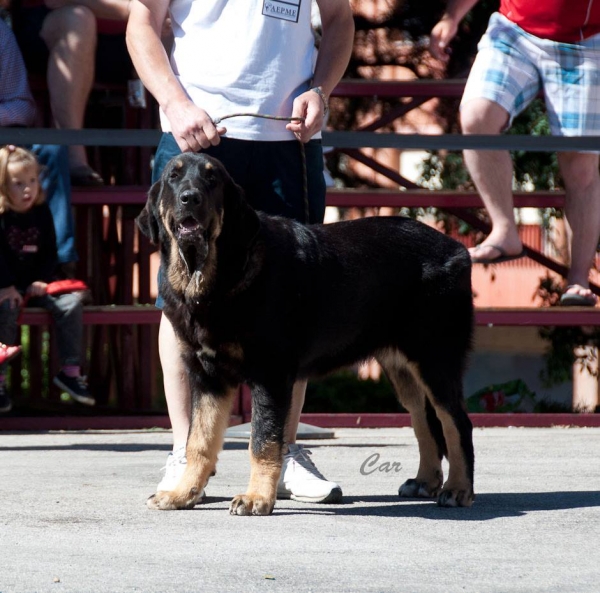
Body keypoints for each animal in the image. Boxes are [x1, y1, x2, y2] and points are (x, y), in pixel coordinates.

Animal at [138, 151, 476, 512]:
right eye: (173, 177)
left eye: (211, 179)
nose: (190, 197)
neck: (214, 276)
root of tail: (458, 248)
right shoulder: (207, 377)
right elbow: (198, 441)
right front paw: (183, 493)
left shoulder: (270, 374)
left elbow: (262, 441)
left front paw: (256, 498)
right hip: (404, 369)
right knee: (423, 419)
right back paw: (425, 481)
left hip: (434, 357)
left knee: (456, 422)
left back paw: (458, 489)